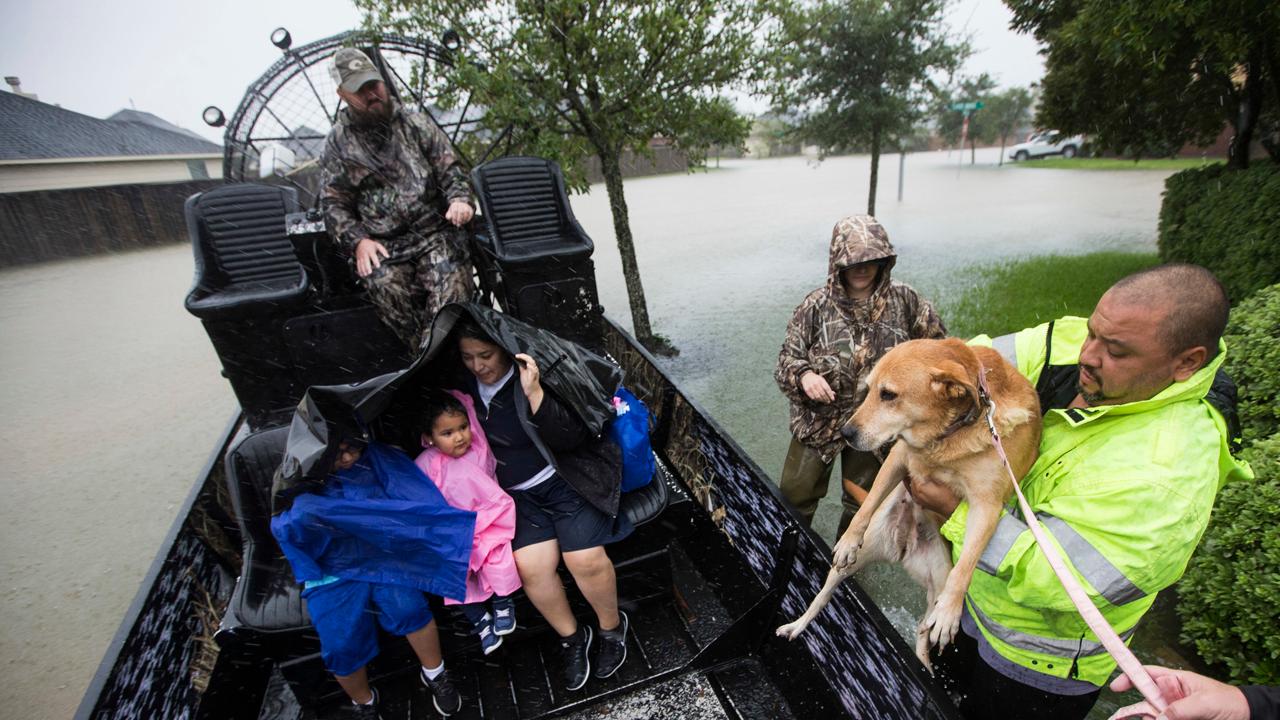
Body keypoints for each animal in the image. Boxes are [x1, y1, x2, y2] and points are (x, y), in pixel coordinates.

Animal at [768, 338, 1039, 671]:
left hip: (937, 580)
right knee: (821, 597)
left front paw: (950, 612)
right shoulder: (898, 457)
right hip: (854, 562)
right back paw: (797, 625)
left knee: (924, 627)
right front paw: (848, 540)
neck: (946, 439)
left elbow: (967, 564)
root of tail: (903, 549)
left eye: (888, 394)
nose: (845, 433)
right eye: (868, 388)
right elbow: (867, 504)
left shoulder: (986, 505)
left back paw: (926, 661)